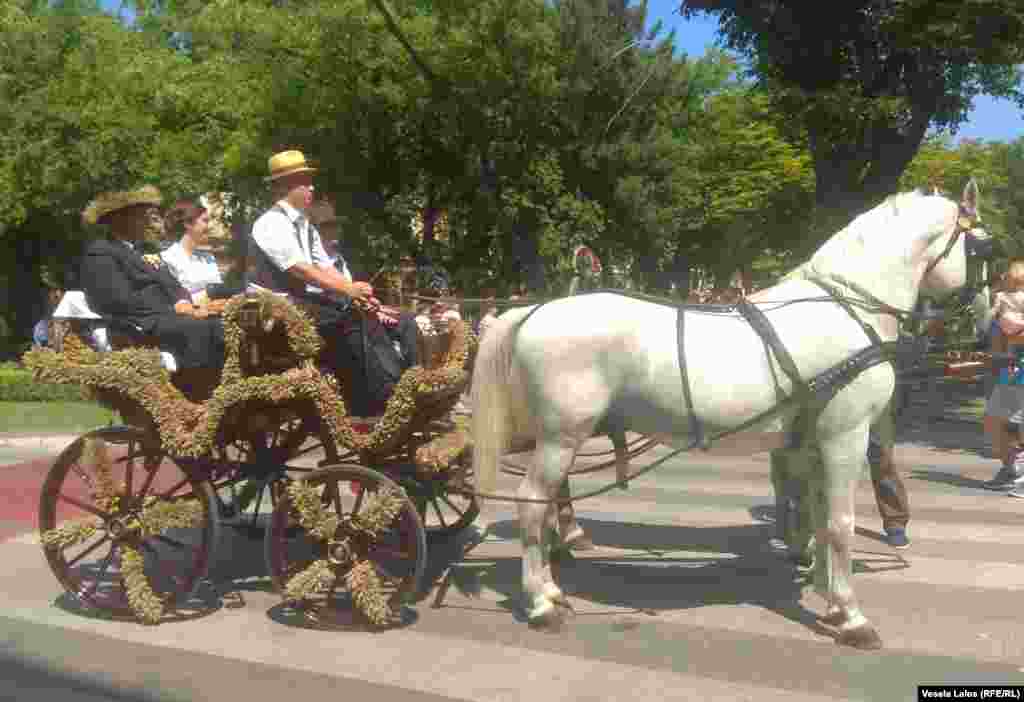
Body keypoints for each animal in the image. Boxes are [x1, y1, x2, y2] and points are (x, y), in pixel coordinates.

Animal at [468, 180, 978, 650]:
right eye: (982, 247)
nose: (973, 318)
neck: (845, 308)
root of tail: (533, 310)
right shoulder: (845, 436)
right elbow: (840, 524)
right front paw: (851, 615)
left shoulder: (815, 441)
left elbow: (818, 516)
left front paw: (826, 592)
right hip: (561, 437)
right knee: (533, 505)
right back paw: (540, 602)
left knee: (547, 505)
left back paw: (553, 587)